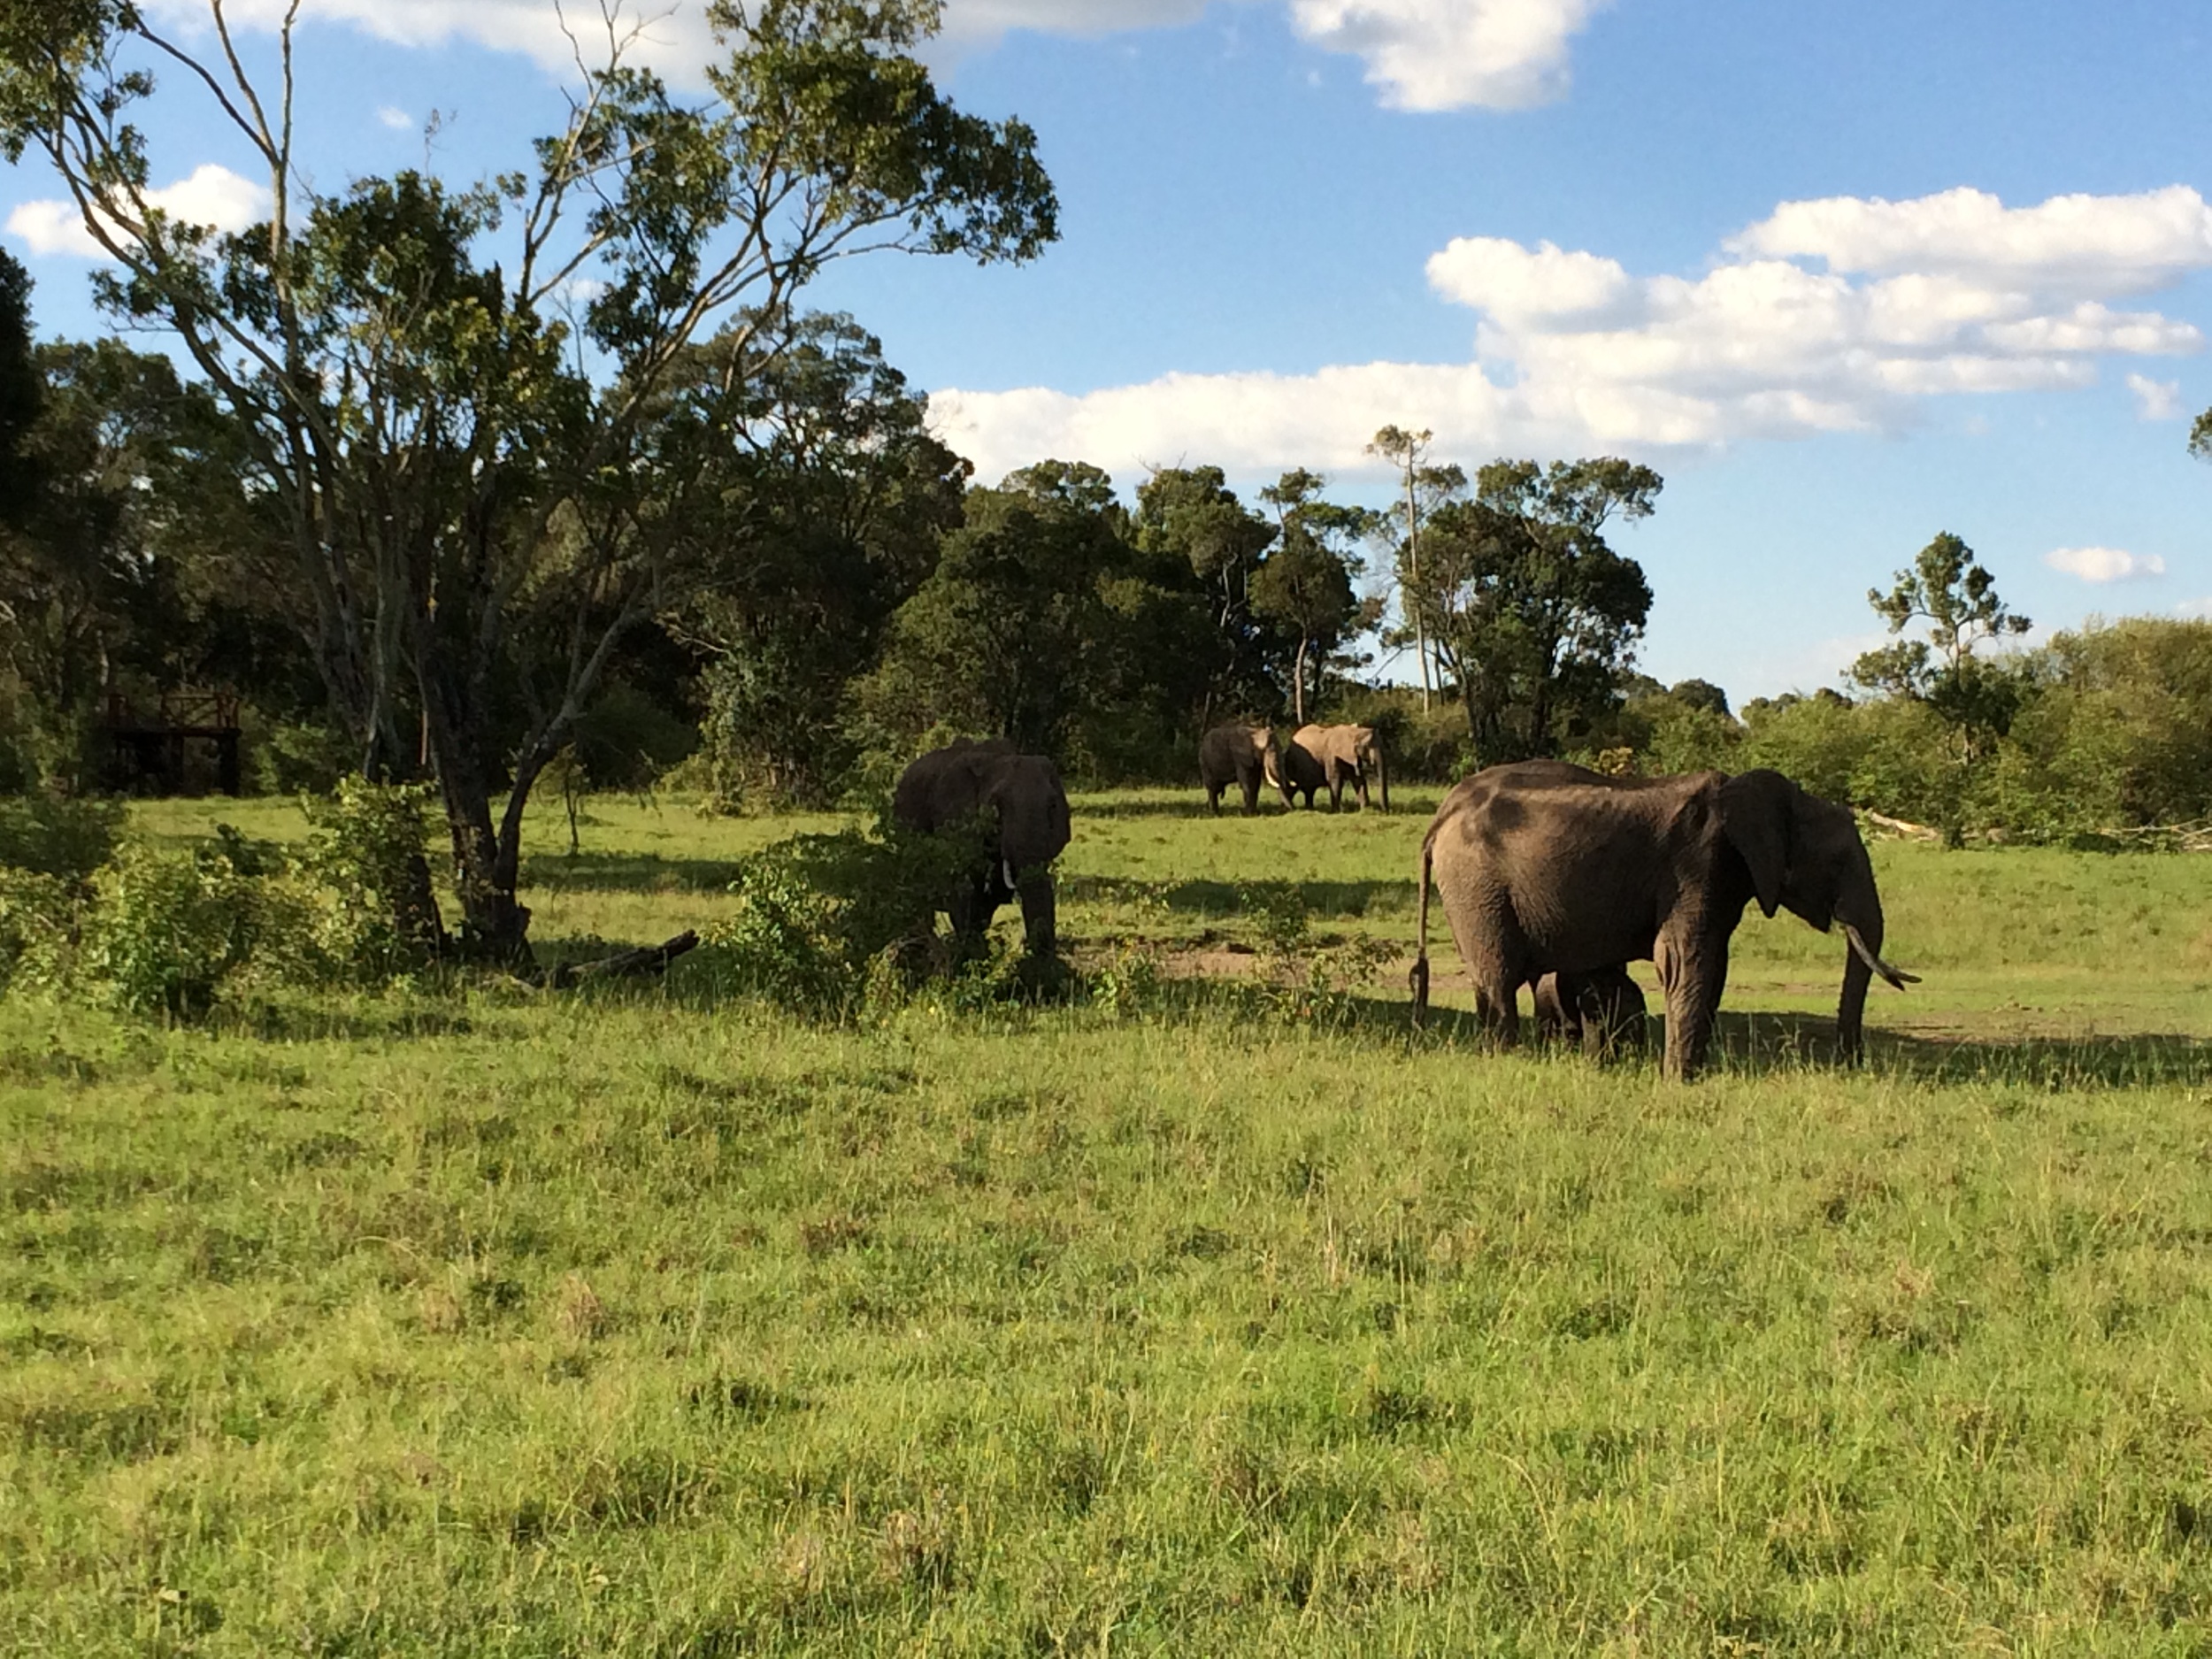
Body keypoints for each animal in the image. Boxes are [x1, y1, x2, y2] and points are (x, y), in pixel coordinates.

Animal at [894, 739, 1075, 960]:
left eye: (1052, 806)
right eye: (996, 807)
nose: (1041, 956)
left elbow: (988, 903)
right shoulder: (955, 826)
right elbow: (962, 896)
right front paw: (972, 957)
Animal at [1416, 765, 1920, 1084]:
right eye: (1837, 863)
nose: (1852, 1066)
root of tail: (1440, 818)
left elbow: (1714, 966)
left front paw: (1694, 1075)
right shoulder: (1697, 865)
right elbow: (1684, 959)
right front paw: (1679, 1081)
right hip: (1476, 885)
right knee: (1498, 978)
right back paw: (1507, 1062)